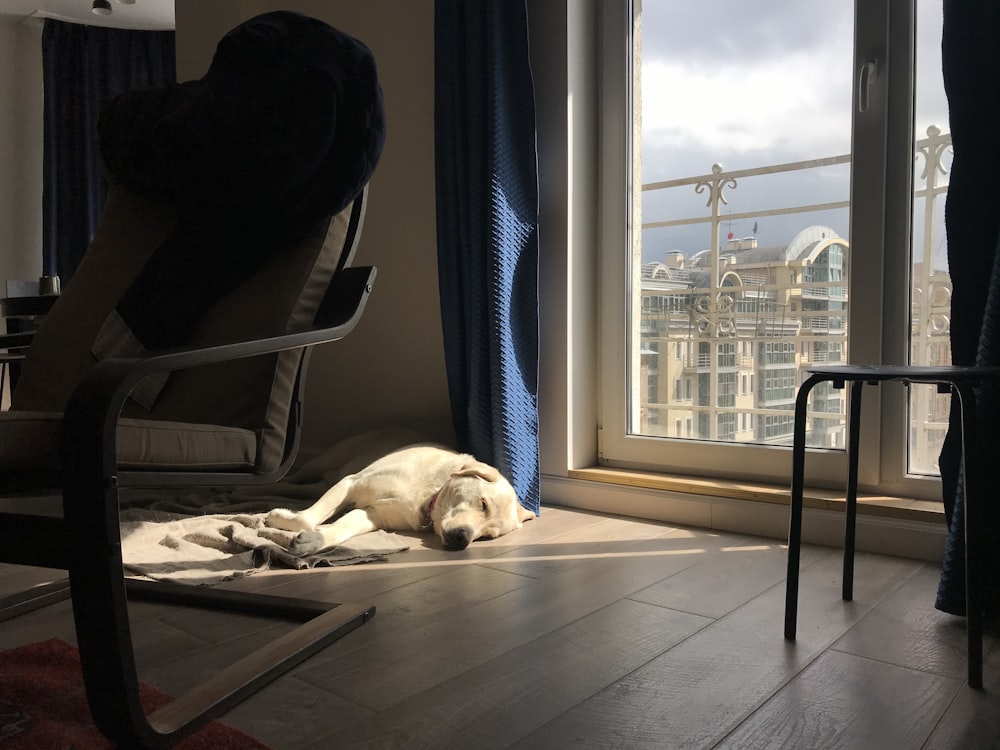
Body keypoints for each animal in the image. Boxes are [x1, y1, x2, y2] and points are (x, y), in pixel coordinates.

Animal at [262, 432, 536, 556]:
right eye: (483, 504)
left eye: (487, 537)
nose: (462, 539)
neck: (427, 497)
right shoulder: (351, 483)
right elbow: (306, 518)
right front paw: (276, 518)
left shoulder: (372, 514)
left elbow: (342, 528)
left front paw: (314, 541)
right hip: (328, 459)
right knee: (296, 477)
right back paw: (264, 487)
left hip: (328, 479)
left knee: (306, 488)